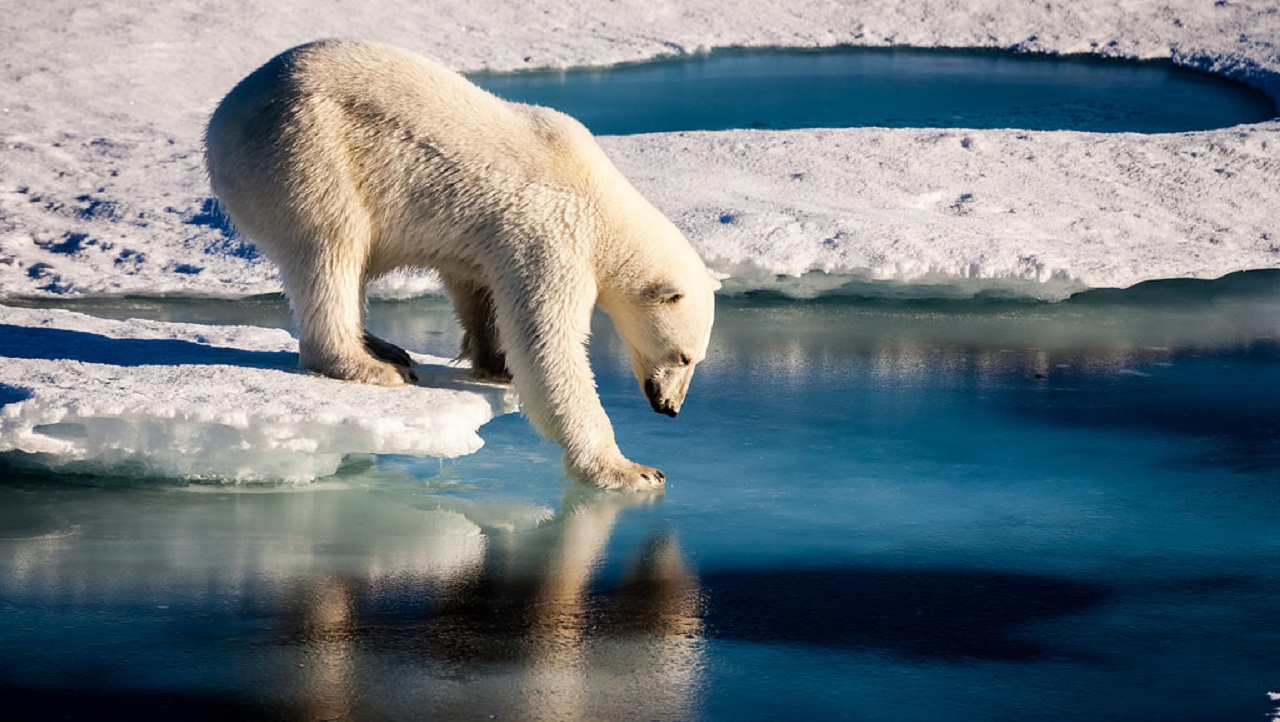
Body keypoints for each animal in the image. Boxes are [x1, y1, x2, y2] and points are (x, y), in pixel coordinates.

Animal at [204, 40, 717, 490]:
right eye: (683, 356)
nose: (670, 407)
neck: (601, 201)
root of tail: (224, 116)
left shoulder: (494, 240)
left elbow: (479, 289)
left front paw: (495, 363)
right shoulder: (553, 236)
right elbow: (548, 345)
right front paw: (631, 470)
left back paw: (384, 346)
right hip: (307, 150)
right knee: (332, 248)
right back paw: (370, 365)